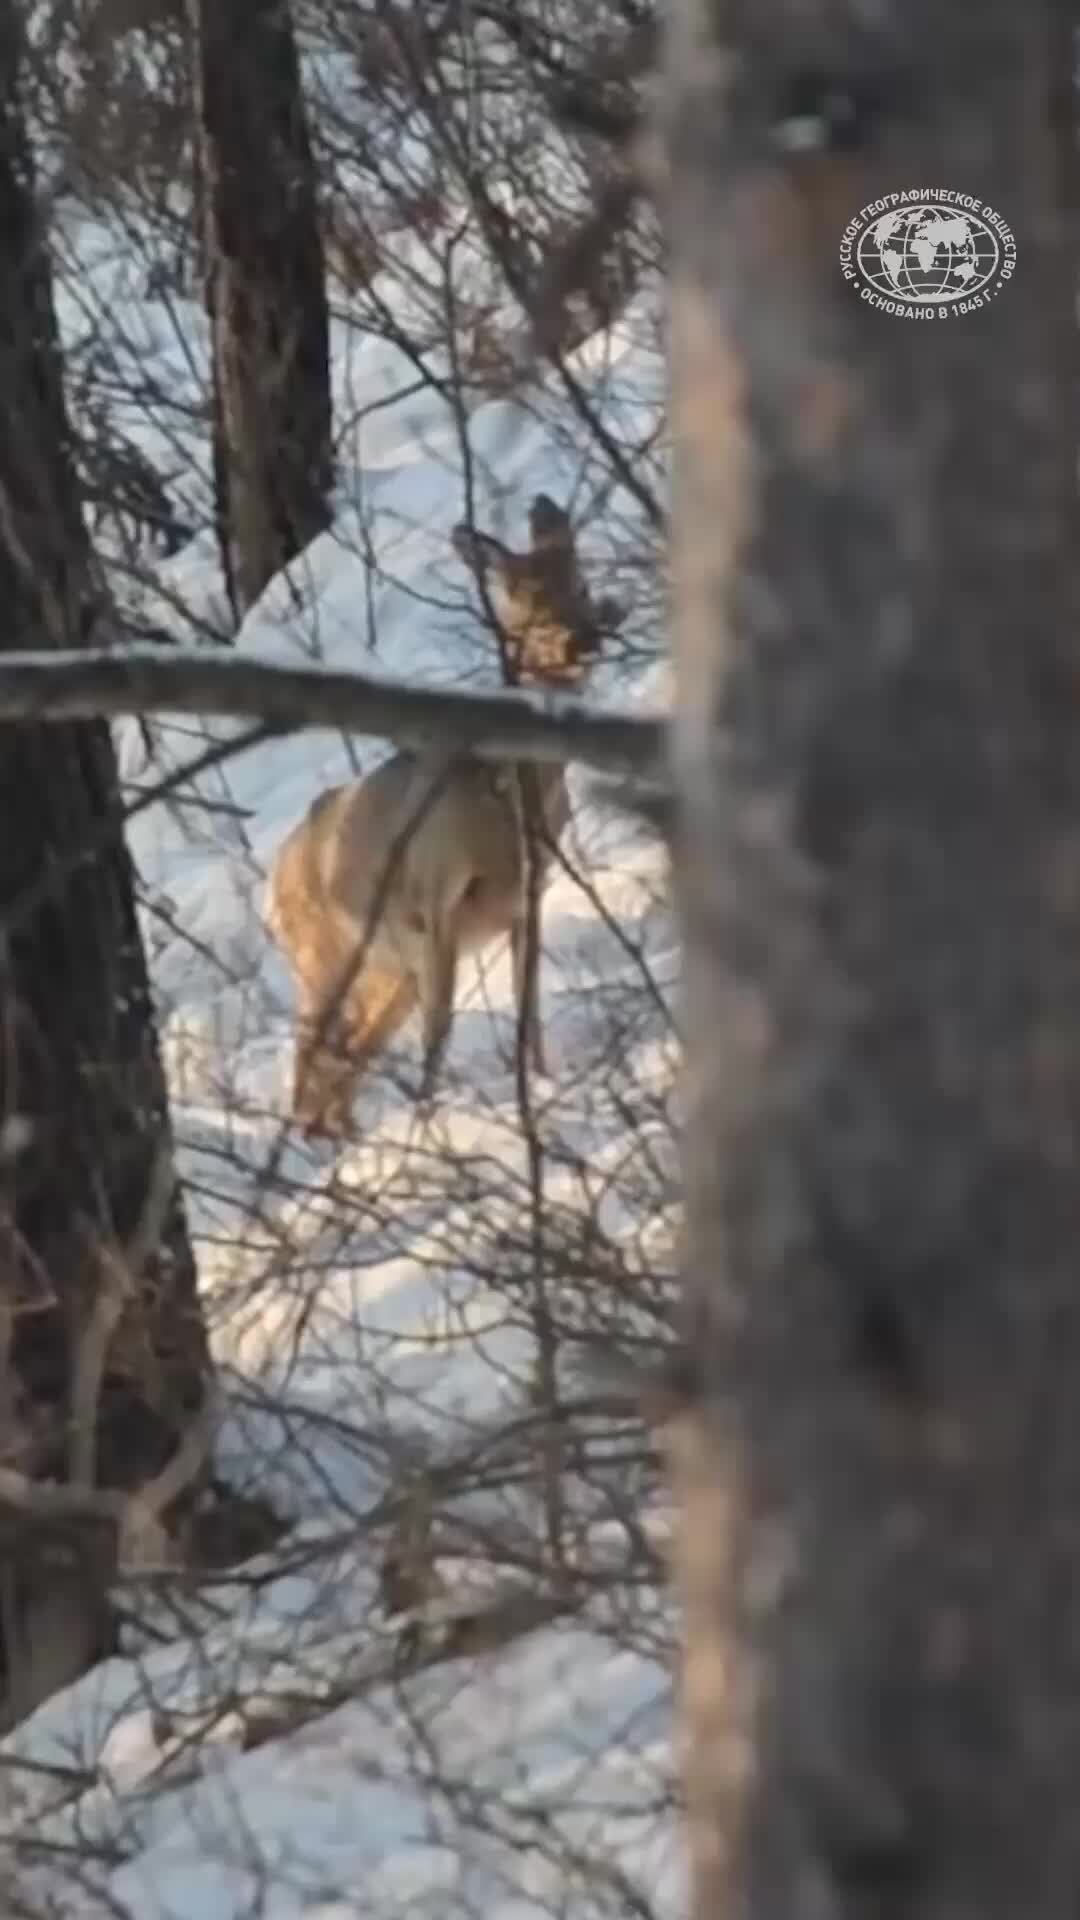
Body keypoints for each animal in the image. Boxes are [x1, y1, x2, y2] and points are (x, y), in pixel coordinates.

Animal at [265, 491, 614, 1136]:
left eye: (580, 581)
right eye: (519, 597)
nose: (582, 643)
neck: (504, 801)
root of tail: (277, 865)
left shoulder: (530, 894)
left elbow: (528, 1007)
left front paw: (540, 1086)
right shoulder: (436, 892)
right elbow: (441, 1028)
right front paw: (430, 1125)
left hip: (388, 971)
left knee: (347, 1055)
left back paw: (342, 1138)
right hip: (323, 956)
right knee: (311, 1054)